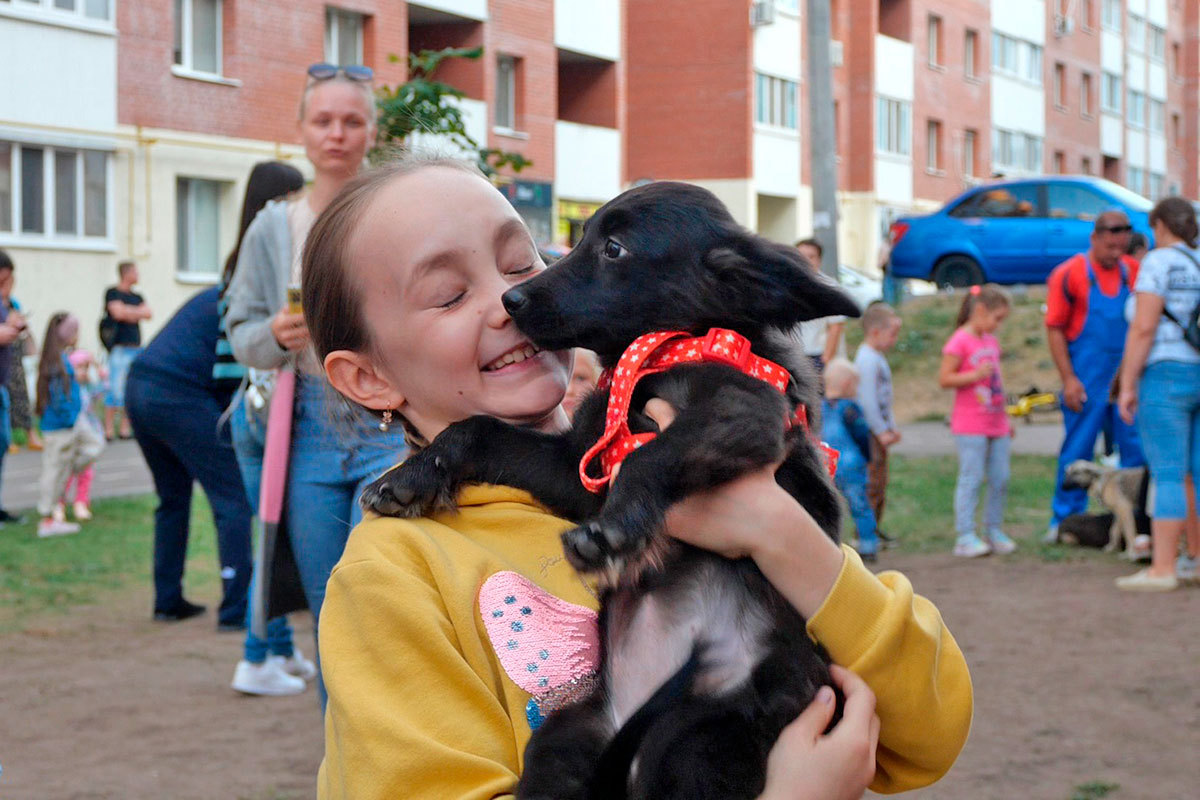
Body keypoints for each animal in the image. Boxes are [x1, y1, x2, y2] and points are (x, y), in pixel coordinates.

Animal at [362, 183, 864, 800]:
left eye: (615, 249)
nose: (511, 299)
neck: (662, 348)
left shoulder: (742, 410)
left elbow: (647, 457)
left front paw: (614, 531)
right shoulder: (575, 467)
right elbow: (478, 430)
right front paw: (411, 476)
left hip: (697, 741)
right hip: (566, 739)